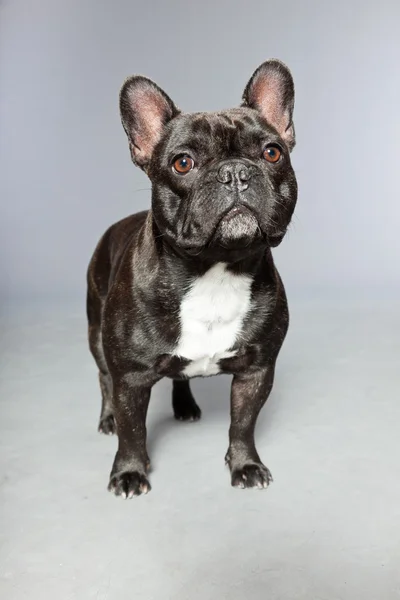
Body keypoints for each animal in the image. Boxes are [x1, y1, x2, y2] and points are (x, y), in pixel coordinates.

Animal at [86, 59, 296, 496]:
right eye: (183, 163)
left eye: (272, 153)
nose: (235, 172)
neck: (214, 270)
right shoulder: (130, 376)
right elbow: (133, 430)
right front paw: (129, 471)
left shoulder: (257, 371)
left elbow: (243, 424)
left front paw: (246, 465)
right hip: (96, 336)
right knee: (103, 379)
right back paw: (108, 417)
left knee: (180, 377)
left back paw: (184, 406)